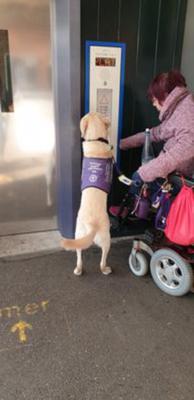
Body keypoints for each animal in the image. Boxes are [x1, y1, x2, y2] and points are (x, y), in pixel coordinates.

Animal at [61, 112, 113, 276]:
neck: (96, 140)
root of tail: (92, 225)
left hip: (78, 234)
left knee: (78, 255)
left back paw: (78, 269)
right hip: (106, 239)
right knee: (102, 260)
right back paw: (106, 269)